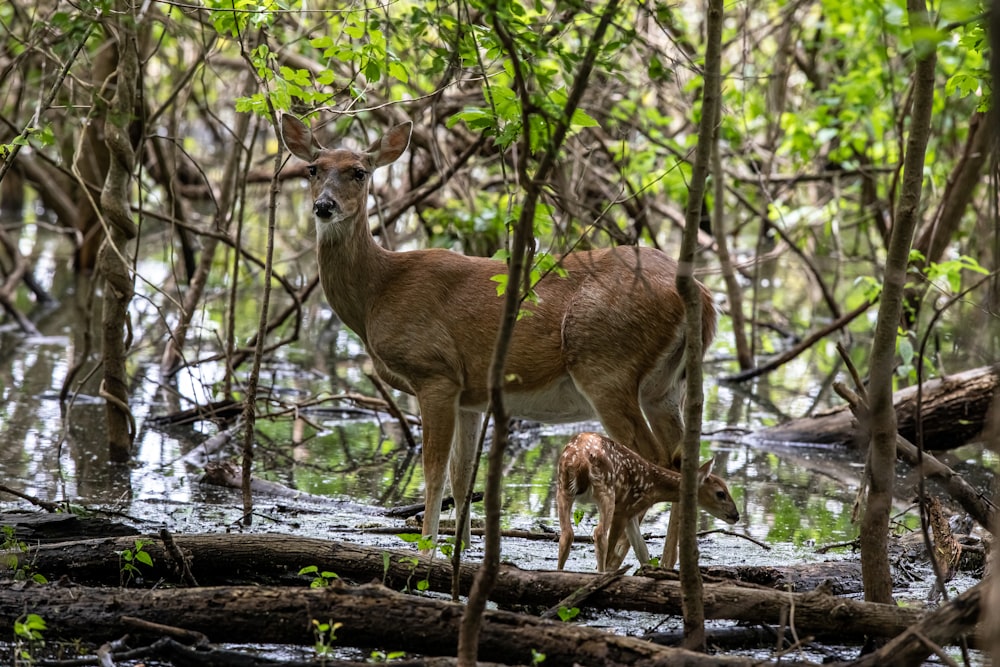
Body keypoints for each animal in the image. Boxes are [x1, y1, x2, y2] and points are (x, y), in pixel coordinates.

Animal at [282, 113, 720, 560]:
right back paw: (666, 564)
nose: (324, 206)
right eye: (313, 169)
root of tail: (702, 296)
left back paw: (631, 561)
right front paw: (457, 553)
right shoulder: (468, 394)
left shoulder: (434, 372)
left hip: (606, 366)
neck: (377, 291)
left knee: (653, 460)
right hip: (663, 385)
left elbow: (434, 473)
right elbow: (461, 477)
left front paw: (424, 553)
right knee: (684, 459)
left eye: (359, 171)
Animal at [552, 436, 740, 572]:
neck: (653, 486)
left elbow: (643, 551)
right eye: (721, 493)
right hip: (606, 490)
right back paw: (599, 574)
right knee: (599, 534)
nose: (736, 516)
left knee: (566, 533)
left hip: (563, 487)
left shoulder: (632, 513)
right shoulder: (624, 508)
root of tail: (581, 460)